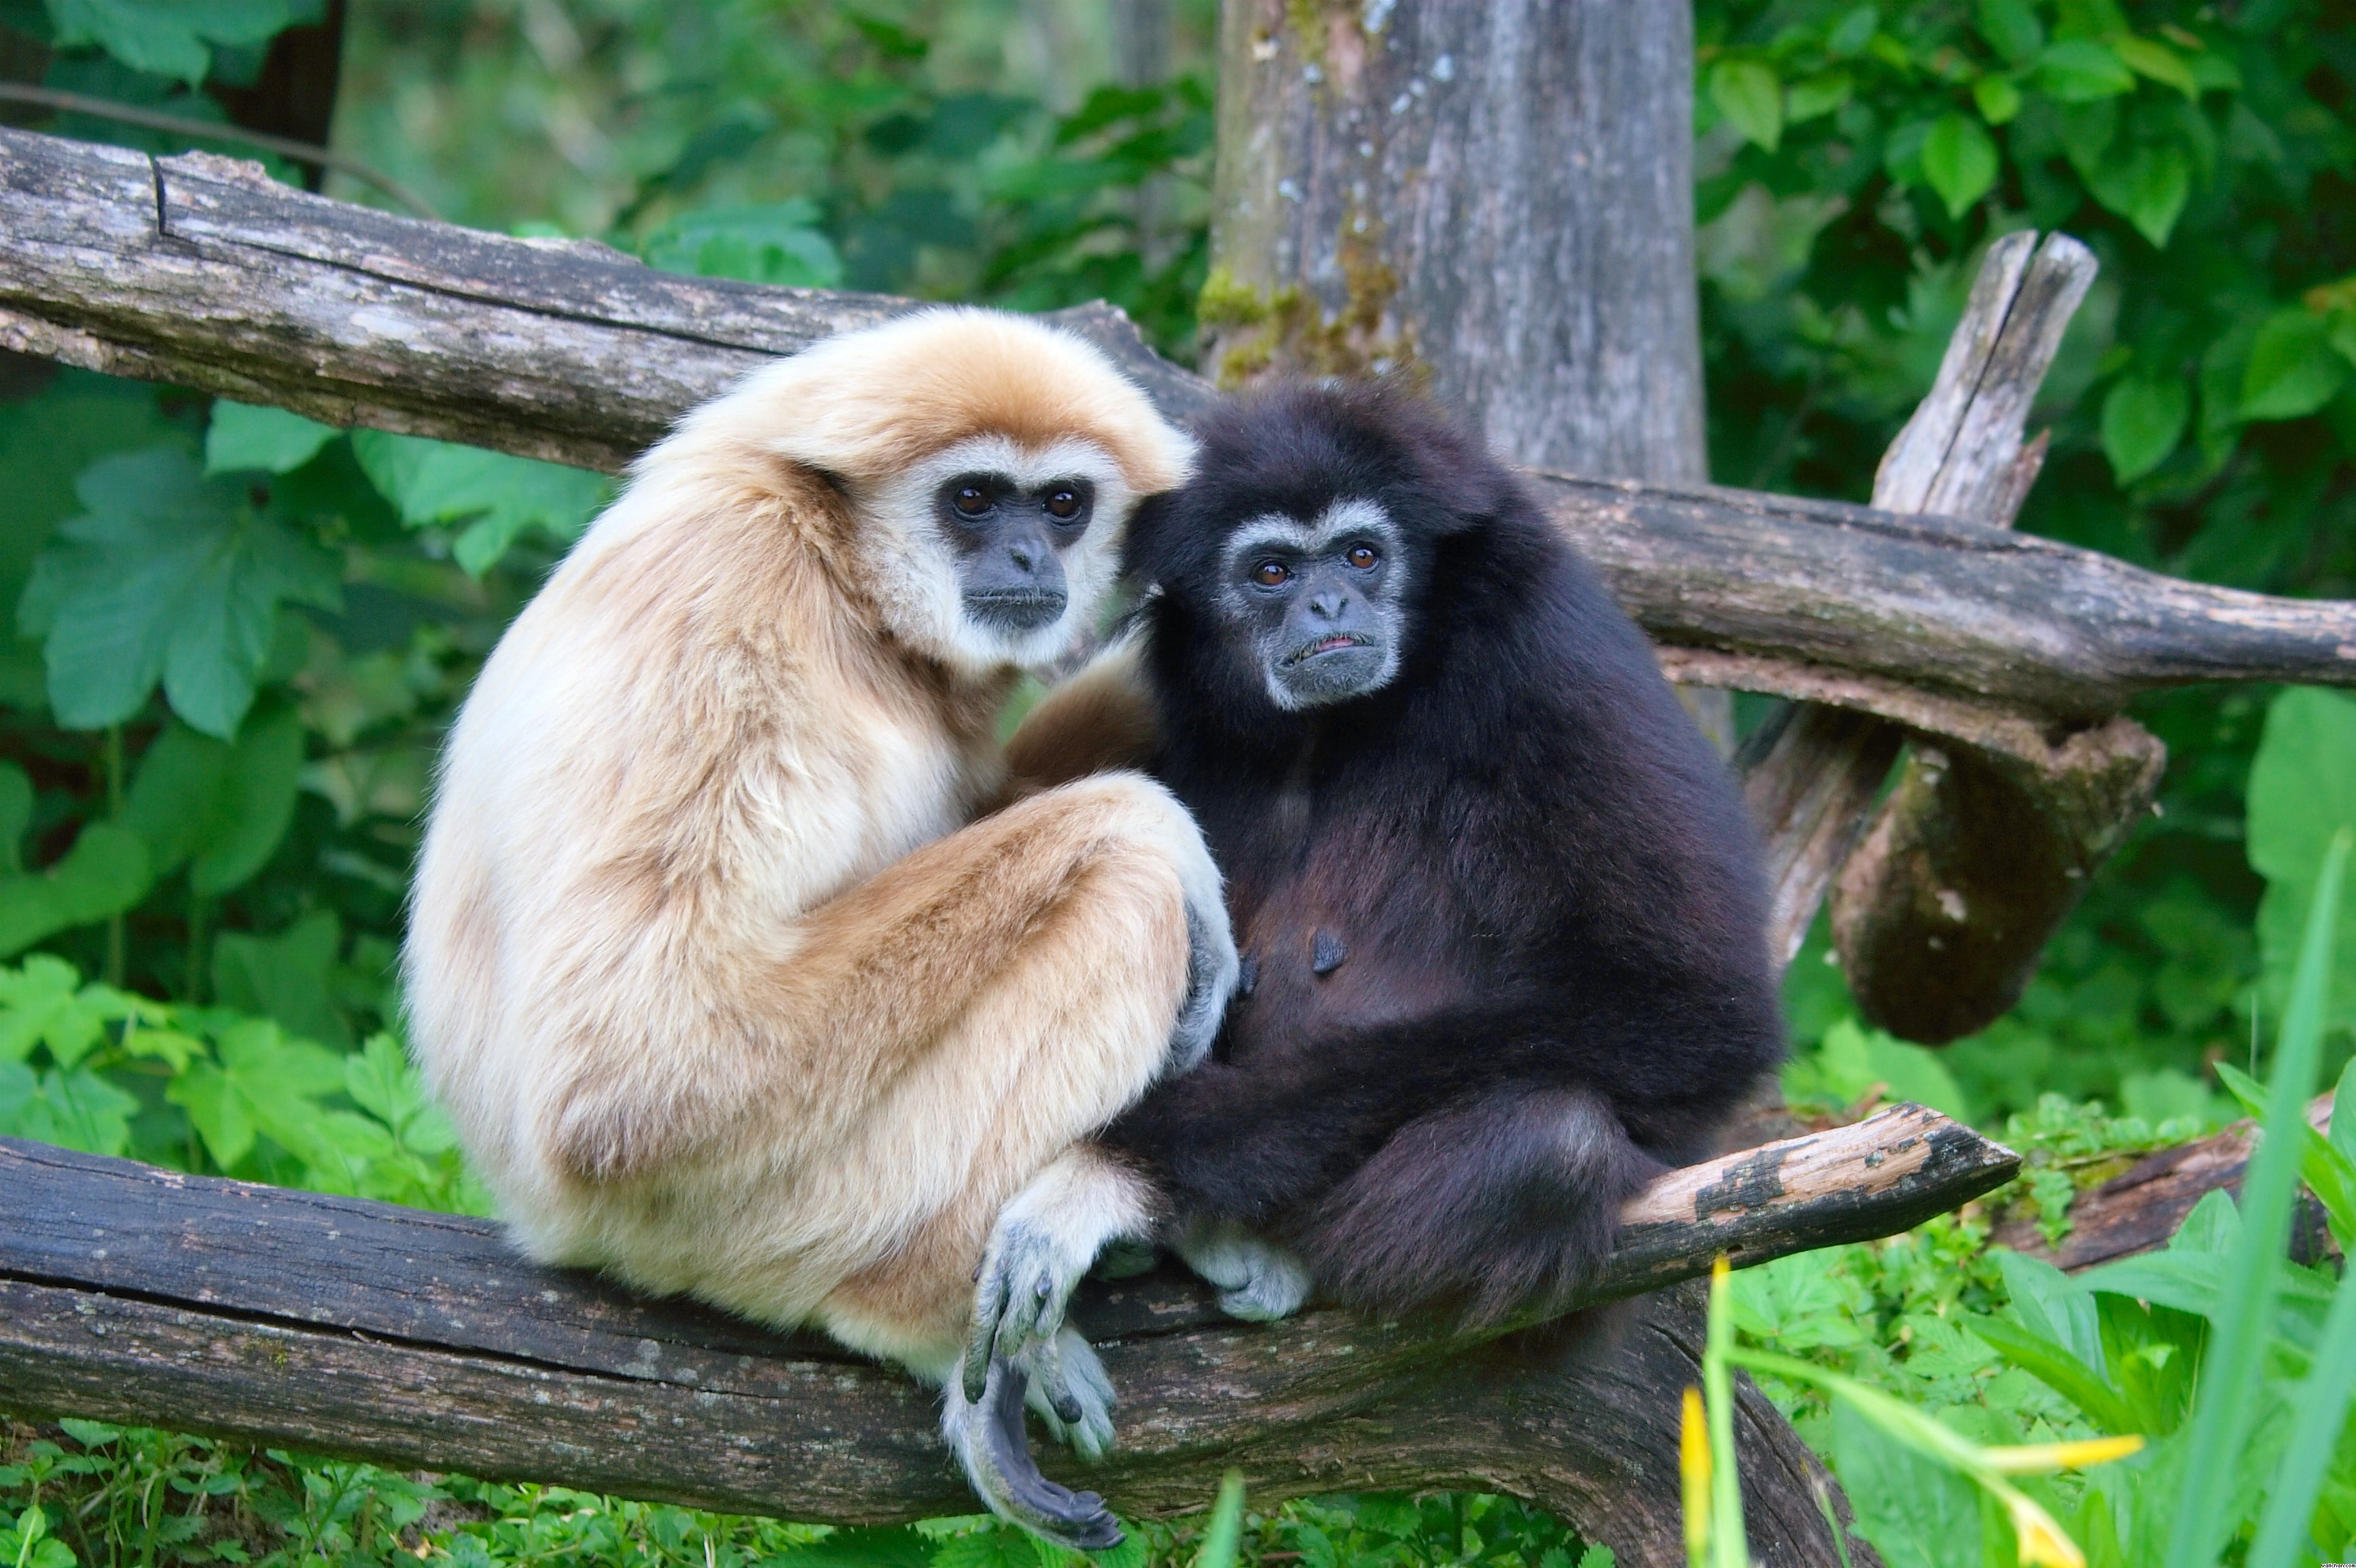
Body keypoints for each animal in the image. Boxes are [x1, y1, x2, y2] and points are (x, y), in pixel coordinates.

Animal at [402, 308, 1238, 1551]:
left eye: (1061, 505)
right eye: (974, 500)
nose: (1027, 559)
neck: (843, 581)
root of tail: (539, 1225)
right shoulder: (728, 609)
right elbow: (636, 1068)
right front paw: (1158, 822)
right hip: (751, 1211)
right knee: (1124, 897)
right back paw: (936, 1328)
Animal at [991, 380, 1784, 1353]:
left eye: (1362, 555)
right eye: (1272, 573)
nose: (1330, 606)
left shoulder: (1549, 657)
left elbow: (1688, 1007)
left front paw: (1113, 1167)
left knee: (1555, 1142)